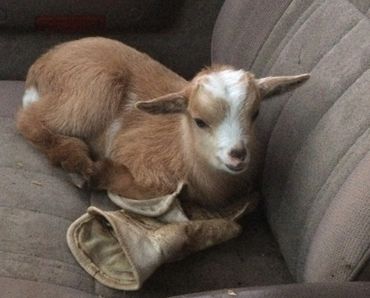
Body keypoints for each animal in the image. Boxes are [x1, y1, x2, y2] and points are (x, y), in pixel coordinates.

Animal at [15, 37, 308, 207]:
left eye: (255, 113)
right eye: (199, 121)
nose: (237, 155)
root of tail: (43, 62)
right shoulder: (136, 151)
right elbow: (148, 189)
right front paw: (98, 173)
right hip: (93, 89)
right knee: (29, 120)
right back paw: (75, 161)